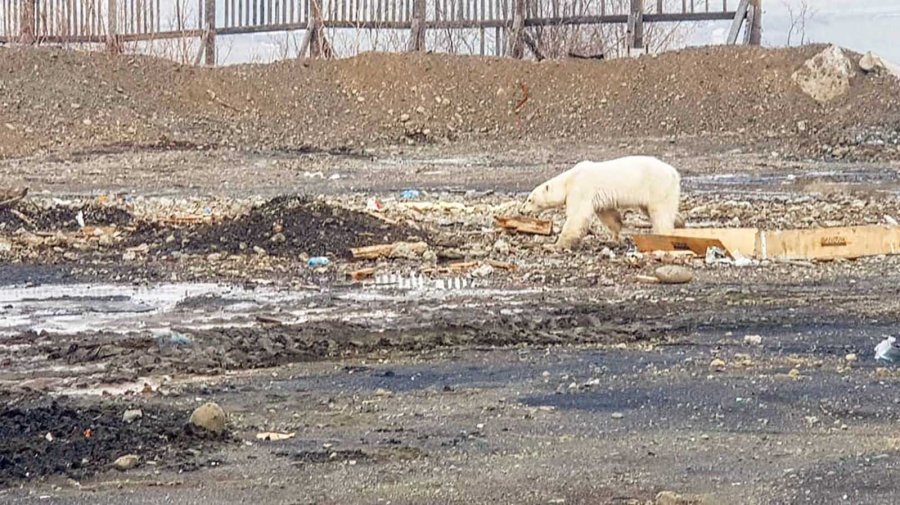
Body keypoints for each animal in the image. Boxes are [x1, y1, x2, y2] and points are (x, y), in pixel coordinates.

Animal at [520, 154, 684, 248]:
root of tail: (673, 172)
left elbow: (576, 216)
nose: (521, 210)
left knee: (660, 212)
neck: (568, 180)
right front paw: (615, 237)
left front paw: (556, 245)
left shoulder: (580, 189)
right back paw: (680, 222)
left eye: (530, 199)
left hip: (657, 186)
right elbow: (608, 214)